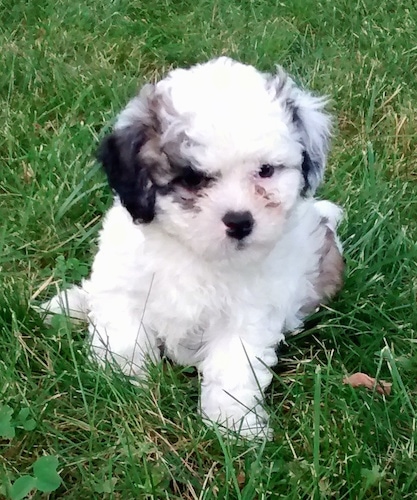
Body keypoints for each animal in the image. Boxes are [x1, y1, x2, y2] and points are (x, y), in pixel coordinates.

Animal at [43, 57, 344, 438]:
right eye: (193, 178)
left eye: (265, 171)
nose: (240, 222)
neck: (192, 251)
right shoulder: (126, 285)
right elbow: (123, 336)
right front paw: (119, 383)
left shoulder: (249, 315)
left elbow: (234, 367)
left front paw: (234, 424)